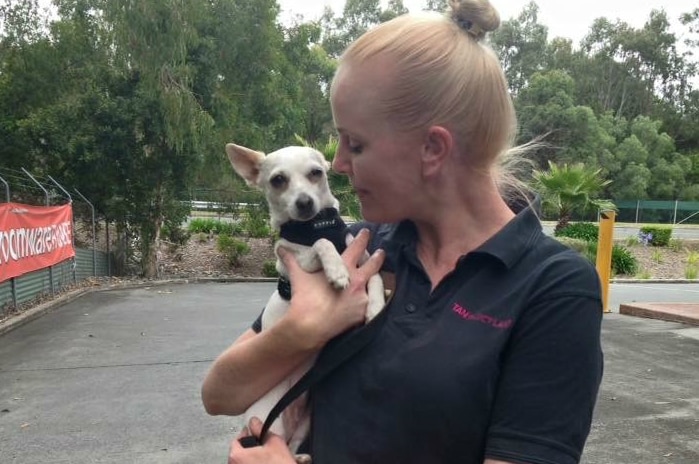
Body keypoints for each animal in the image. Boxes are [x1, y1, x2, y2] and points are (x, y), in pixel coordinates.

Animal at [227, 144, 386, 456]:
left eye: (316, 173)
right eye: (278, 180)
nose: (304, 202)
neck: (315, 226)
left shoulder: (362, 257)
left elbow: (375, 275)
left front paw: (376, 306)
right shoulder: (296, 257)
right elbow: (322, 245)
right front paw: (337, 271)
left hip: (306, 421)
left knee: (291, 445)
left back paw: (300, 458)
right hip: (269, 423)